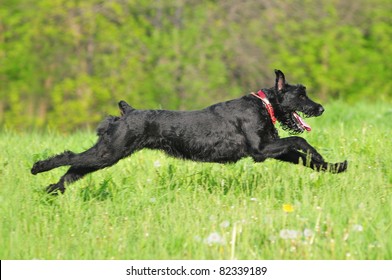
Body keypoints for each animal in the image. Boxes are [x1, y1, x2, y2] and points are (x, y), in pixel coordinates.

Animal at [32, 69, 348, 195]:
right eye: (301, 94)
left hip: (107, 155)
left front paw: (335, 167)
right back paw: (38, 168)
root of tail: (127, 112)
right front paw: (324, 157)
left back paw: (54, 189)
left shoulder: (271, 148)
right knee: (70, 157)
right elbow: (300, 140)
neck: (266, 104)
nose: (320, 108)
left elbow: (301, 157)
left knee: (76, 168)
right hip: (109, 151)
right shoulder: (261, 149)